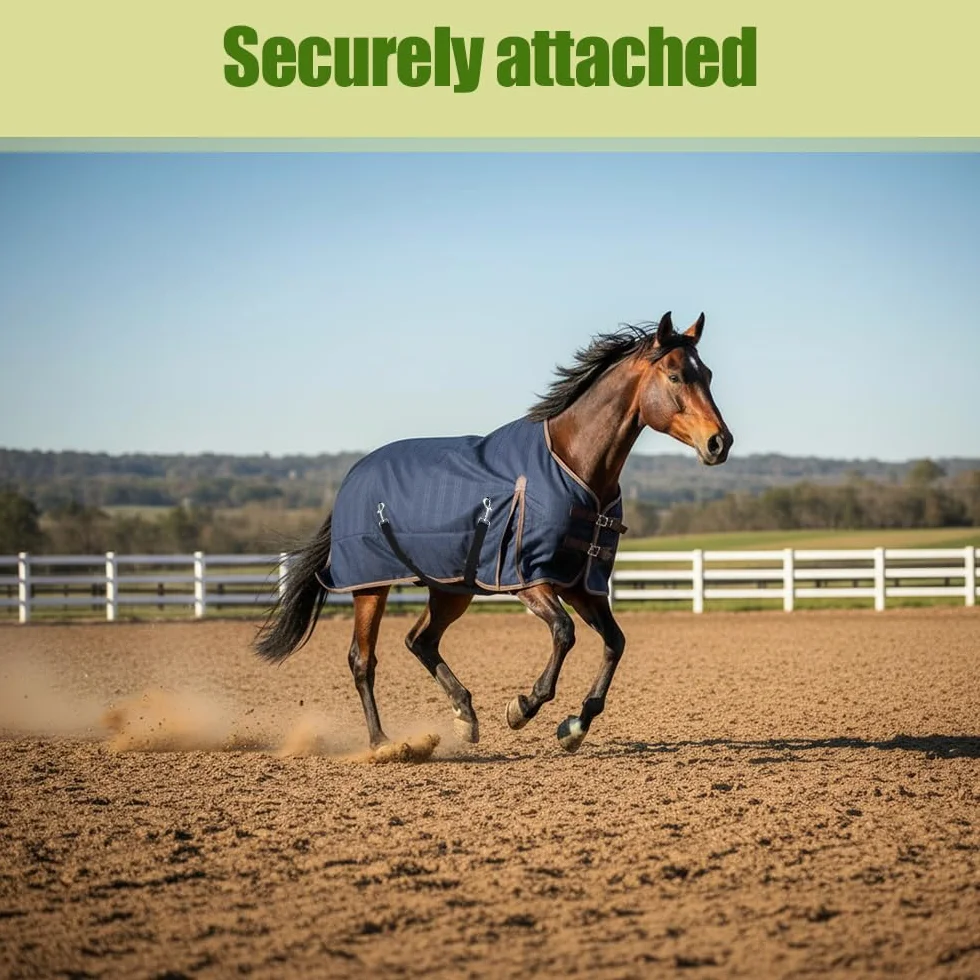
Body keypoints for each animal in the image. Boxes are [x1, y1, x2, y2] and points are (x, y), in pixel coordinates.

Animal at [255, 311, 732, 754]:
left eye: (707, 374)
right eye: (675, 374)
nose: (719, 443)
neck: (574, 466)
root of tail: (352, 476)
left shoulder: (580, 583)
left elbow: (615, 642)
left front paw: (575, 726)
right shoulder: (530, 579)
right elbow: (564, 633)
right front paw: (523, 707)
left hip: (450, 588)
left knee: (420, 640)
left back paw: (465, 716)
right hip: (371, 586)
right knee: (363, 659)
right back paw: (384, 743)